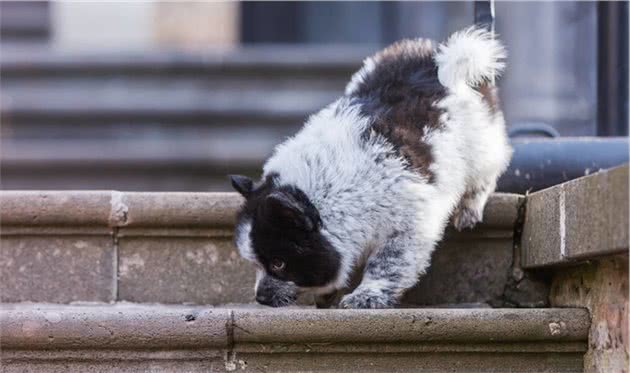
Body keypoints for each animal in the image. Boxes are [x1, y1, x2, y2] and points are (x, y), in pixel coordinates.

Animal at [232, 26, 512, 308]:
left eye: (279, 264)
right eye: (255, 264)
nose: (260, 297)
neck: (328, 193)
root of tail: (435, 56)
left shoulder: (408, 226)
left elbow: (387, 263)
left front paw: (367, 294)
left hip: (482, 143)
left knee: (487, 170)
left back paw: (469, 207)